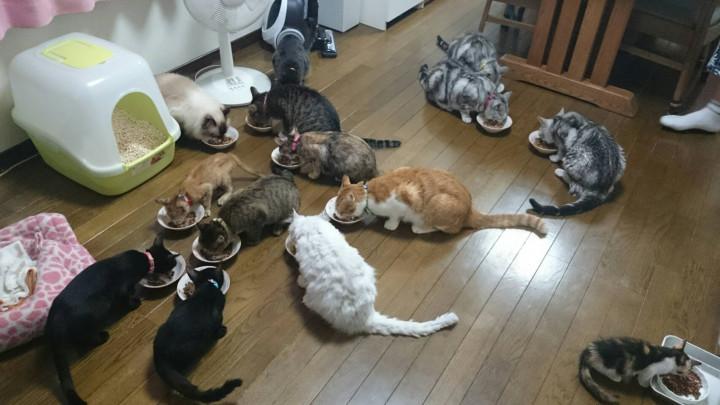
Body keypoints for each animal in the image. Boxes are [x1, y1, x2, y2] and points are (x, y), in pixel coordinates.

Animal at [45, 235, 178, 405]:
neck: (145, 259)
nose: (175, 266)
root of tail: (55, 317)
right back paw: (103, 337)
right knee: (86, 337)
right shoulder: (124, 289)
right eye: (172, 262)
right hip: (97, 309)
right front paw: (134, 303)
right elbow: (127, 298)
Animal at [154, 265, 242, 403]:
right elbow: (217, 325)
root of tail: (159, 355)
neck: (208, 285)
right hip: (194, 347)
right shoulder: (217, 315)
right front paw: (222, 331)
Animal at [288, 212, 459, 336]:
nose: (289, 236)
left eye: (290, 230)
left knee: (308, 301)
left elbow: (302, 276)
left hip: (315, 297)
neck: (313, 229)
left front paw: (299, 280)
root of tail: (367, 318)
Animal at [334, 168, 547, 235]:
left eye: (340, 208)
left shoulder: (403, 201)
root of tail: (470, 211)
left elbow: (395, 216)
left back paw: (419, 228)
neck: (368, 194)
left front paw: (390, 225)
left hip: (437, 207)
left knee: (443, 229)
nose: (335, 214)